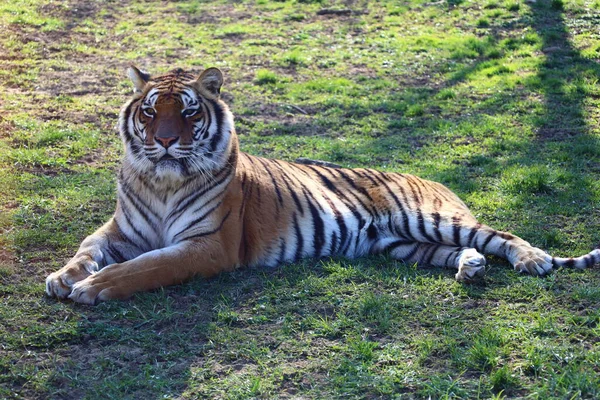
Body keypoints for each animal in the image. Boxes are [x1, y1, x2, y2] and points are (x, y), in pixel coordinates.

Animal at [44, 65, 596, 304]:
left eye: (188, 112)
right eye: (150, 111)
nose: (162, 141)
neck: (160, 182)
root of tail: (433, 179)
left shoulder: (208, 245)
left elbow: (146, 267)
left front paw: (94, 288)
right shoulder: (120, 231)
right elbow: (88, 249)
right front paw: (64, 277)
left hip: (427, 218)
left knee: (500, 236)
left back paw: (532, 260)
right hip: (402, 244)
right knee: (461, 251)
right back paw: (472, 270)